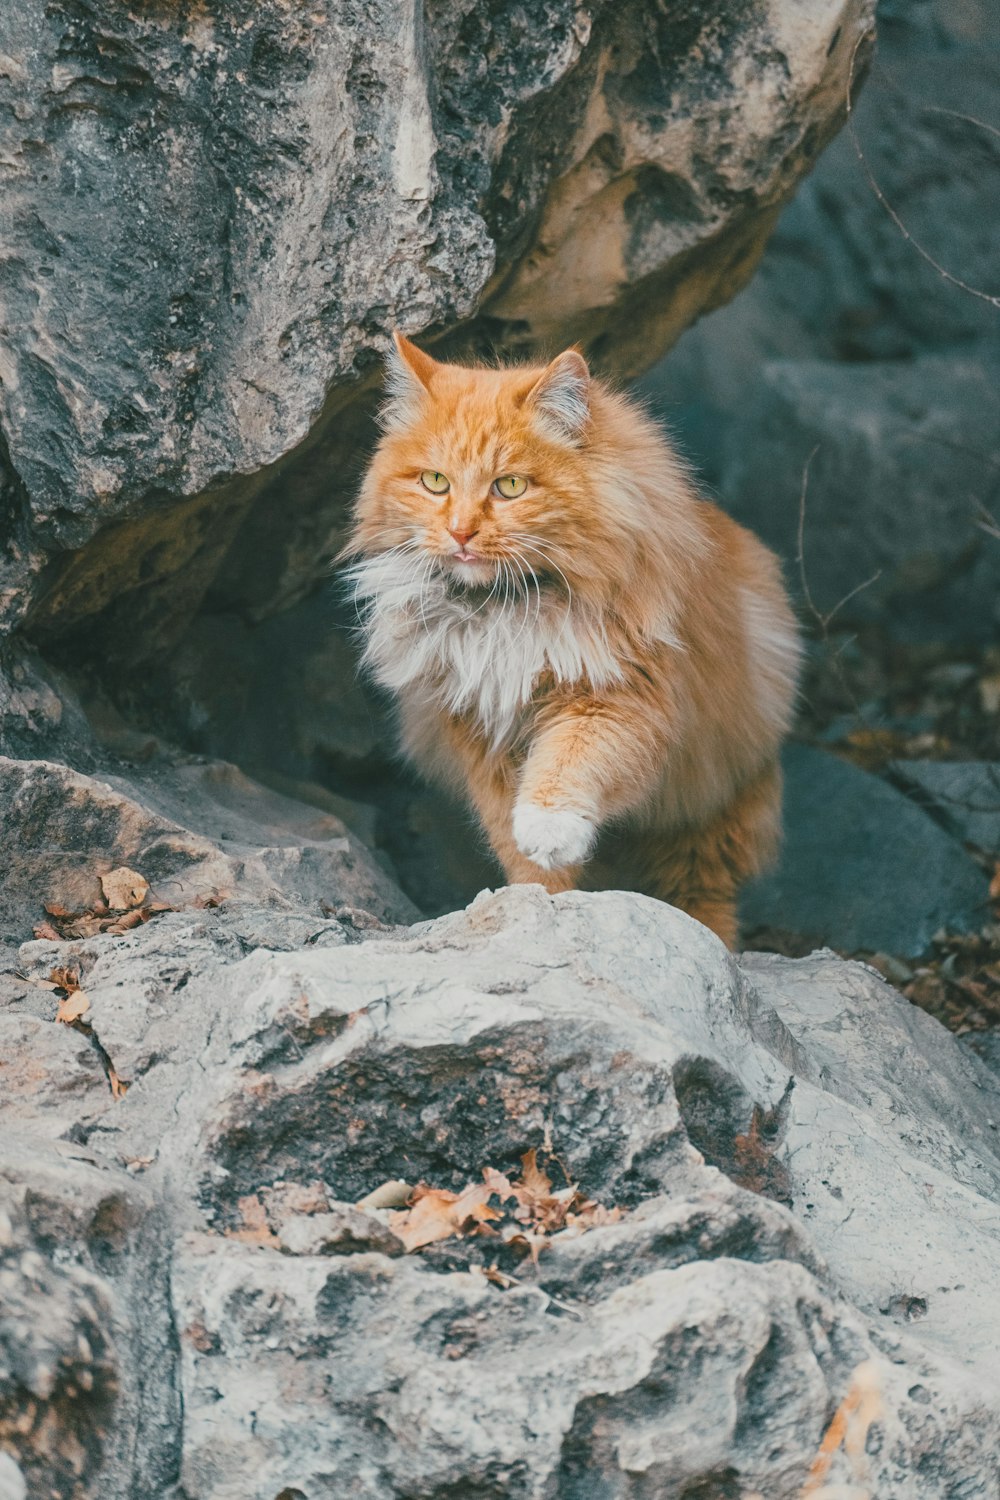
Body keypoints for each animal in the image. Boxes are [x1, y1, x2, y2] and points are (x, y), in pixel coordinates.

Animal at [347, 337, 803, 948]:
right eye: (435, 482)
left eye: (510, 486)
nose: (461, 532)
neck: (505, 614)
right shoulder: (481, 728)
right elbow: (513, 839)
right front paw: (540, 901)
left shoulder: (615, 700)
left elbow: (568, 766)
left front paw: (550, 829)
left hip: (711, 804)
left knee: (704, 892)